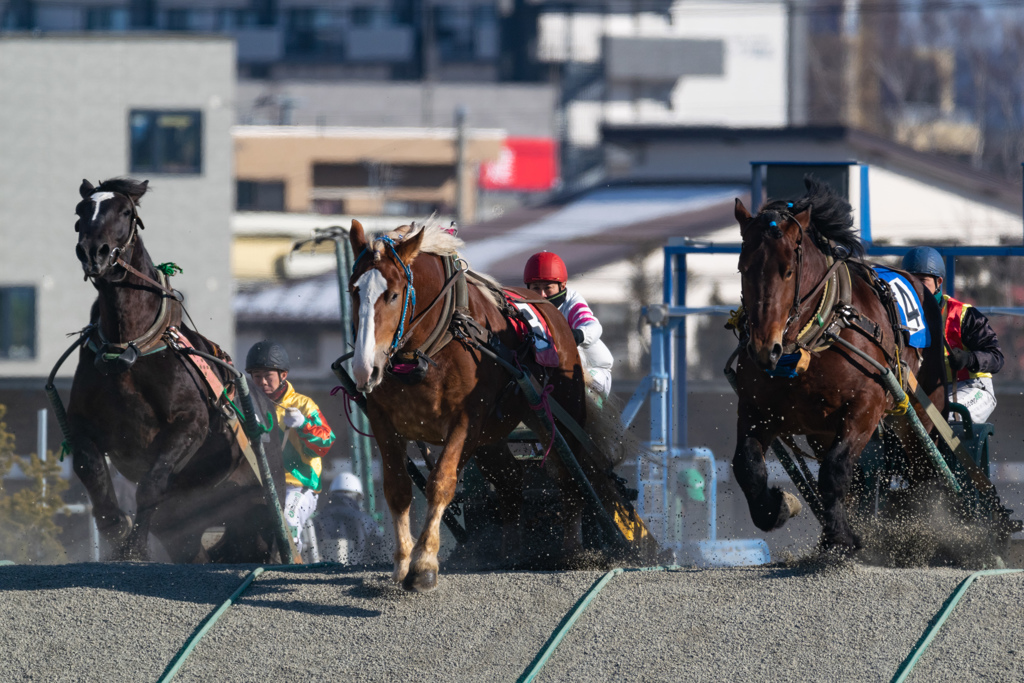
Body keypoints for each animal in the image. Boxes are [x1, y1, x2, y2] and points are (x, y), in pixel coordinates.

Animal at [68, 179, 286, 565]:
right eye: (81, 210)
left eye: (125, 211)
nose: (94, 252)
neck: (130, 349)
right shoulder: (81, 422)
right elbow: (89, 469)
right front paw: (118, 531)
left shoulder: (190, 423)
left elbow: (152, 484)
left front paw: (135, 548)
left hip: (261, 502)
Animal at [348, 220, 622, 593]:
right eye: (354, 291)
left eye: (392, 294)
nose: (365, 368)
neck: (433, 345)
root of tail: (551, 311)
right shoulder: (383, 421)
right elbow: (398, 489)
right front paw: (403, 561)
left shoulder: (466, 419)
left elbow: (441, 482)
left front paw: (424, 564)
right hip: (491, 439)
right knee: (512, 481)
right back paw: (509, 552)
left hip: (558, 418)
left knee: (572, 479)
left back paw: (572, 551)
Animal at [733, 179, 946, 552]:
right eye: (743, 269)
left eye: (788, 271)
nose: (763, 349)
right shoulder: (758, 408)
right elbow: (747, 465)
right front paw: (778, 507)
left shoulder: (866, 406)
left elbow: (834, 471)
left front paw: (842, 537)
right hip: (821, 430)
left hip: (920, 410)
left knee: (923, 468)